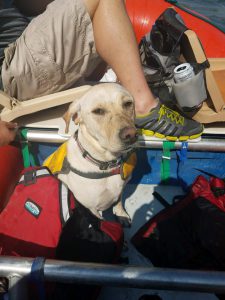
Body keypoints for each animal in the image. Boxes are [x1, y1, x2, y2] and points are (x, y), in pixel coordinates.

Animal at [43, 83, 136, 224]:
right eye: (98, 111)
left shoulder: (122, 188)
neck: (106, 163)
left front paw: (121, 215)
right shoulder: (91, 208)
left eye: (128, 103)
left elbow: (119, 202)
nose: (131, 135)